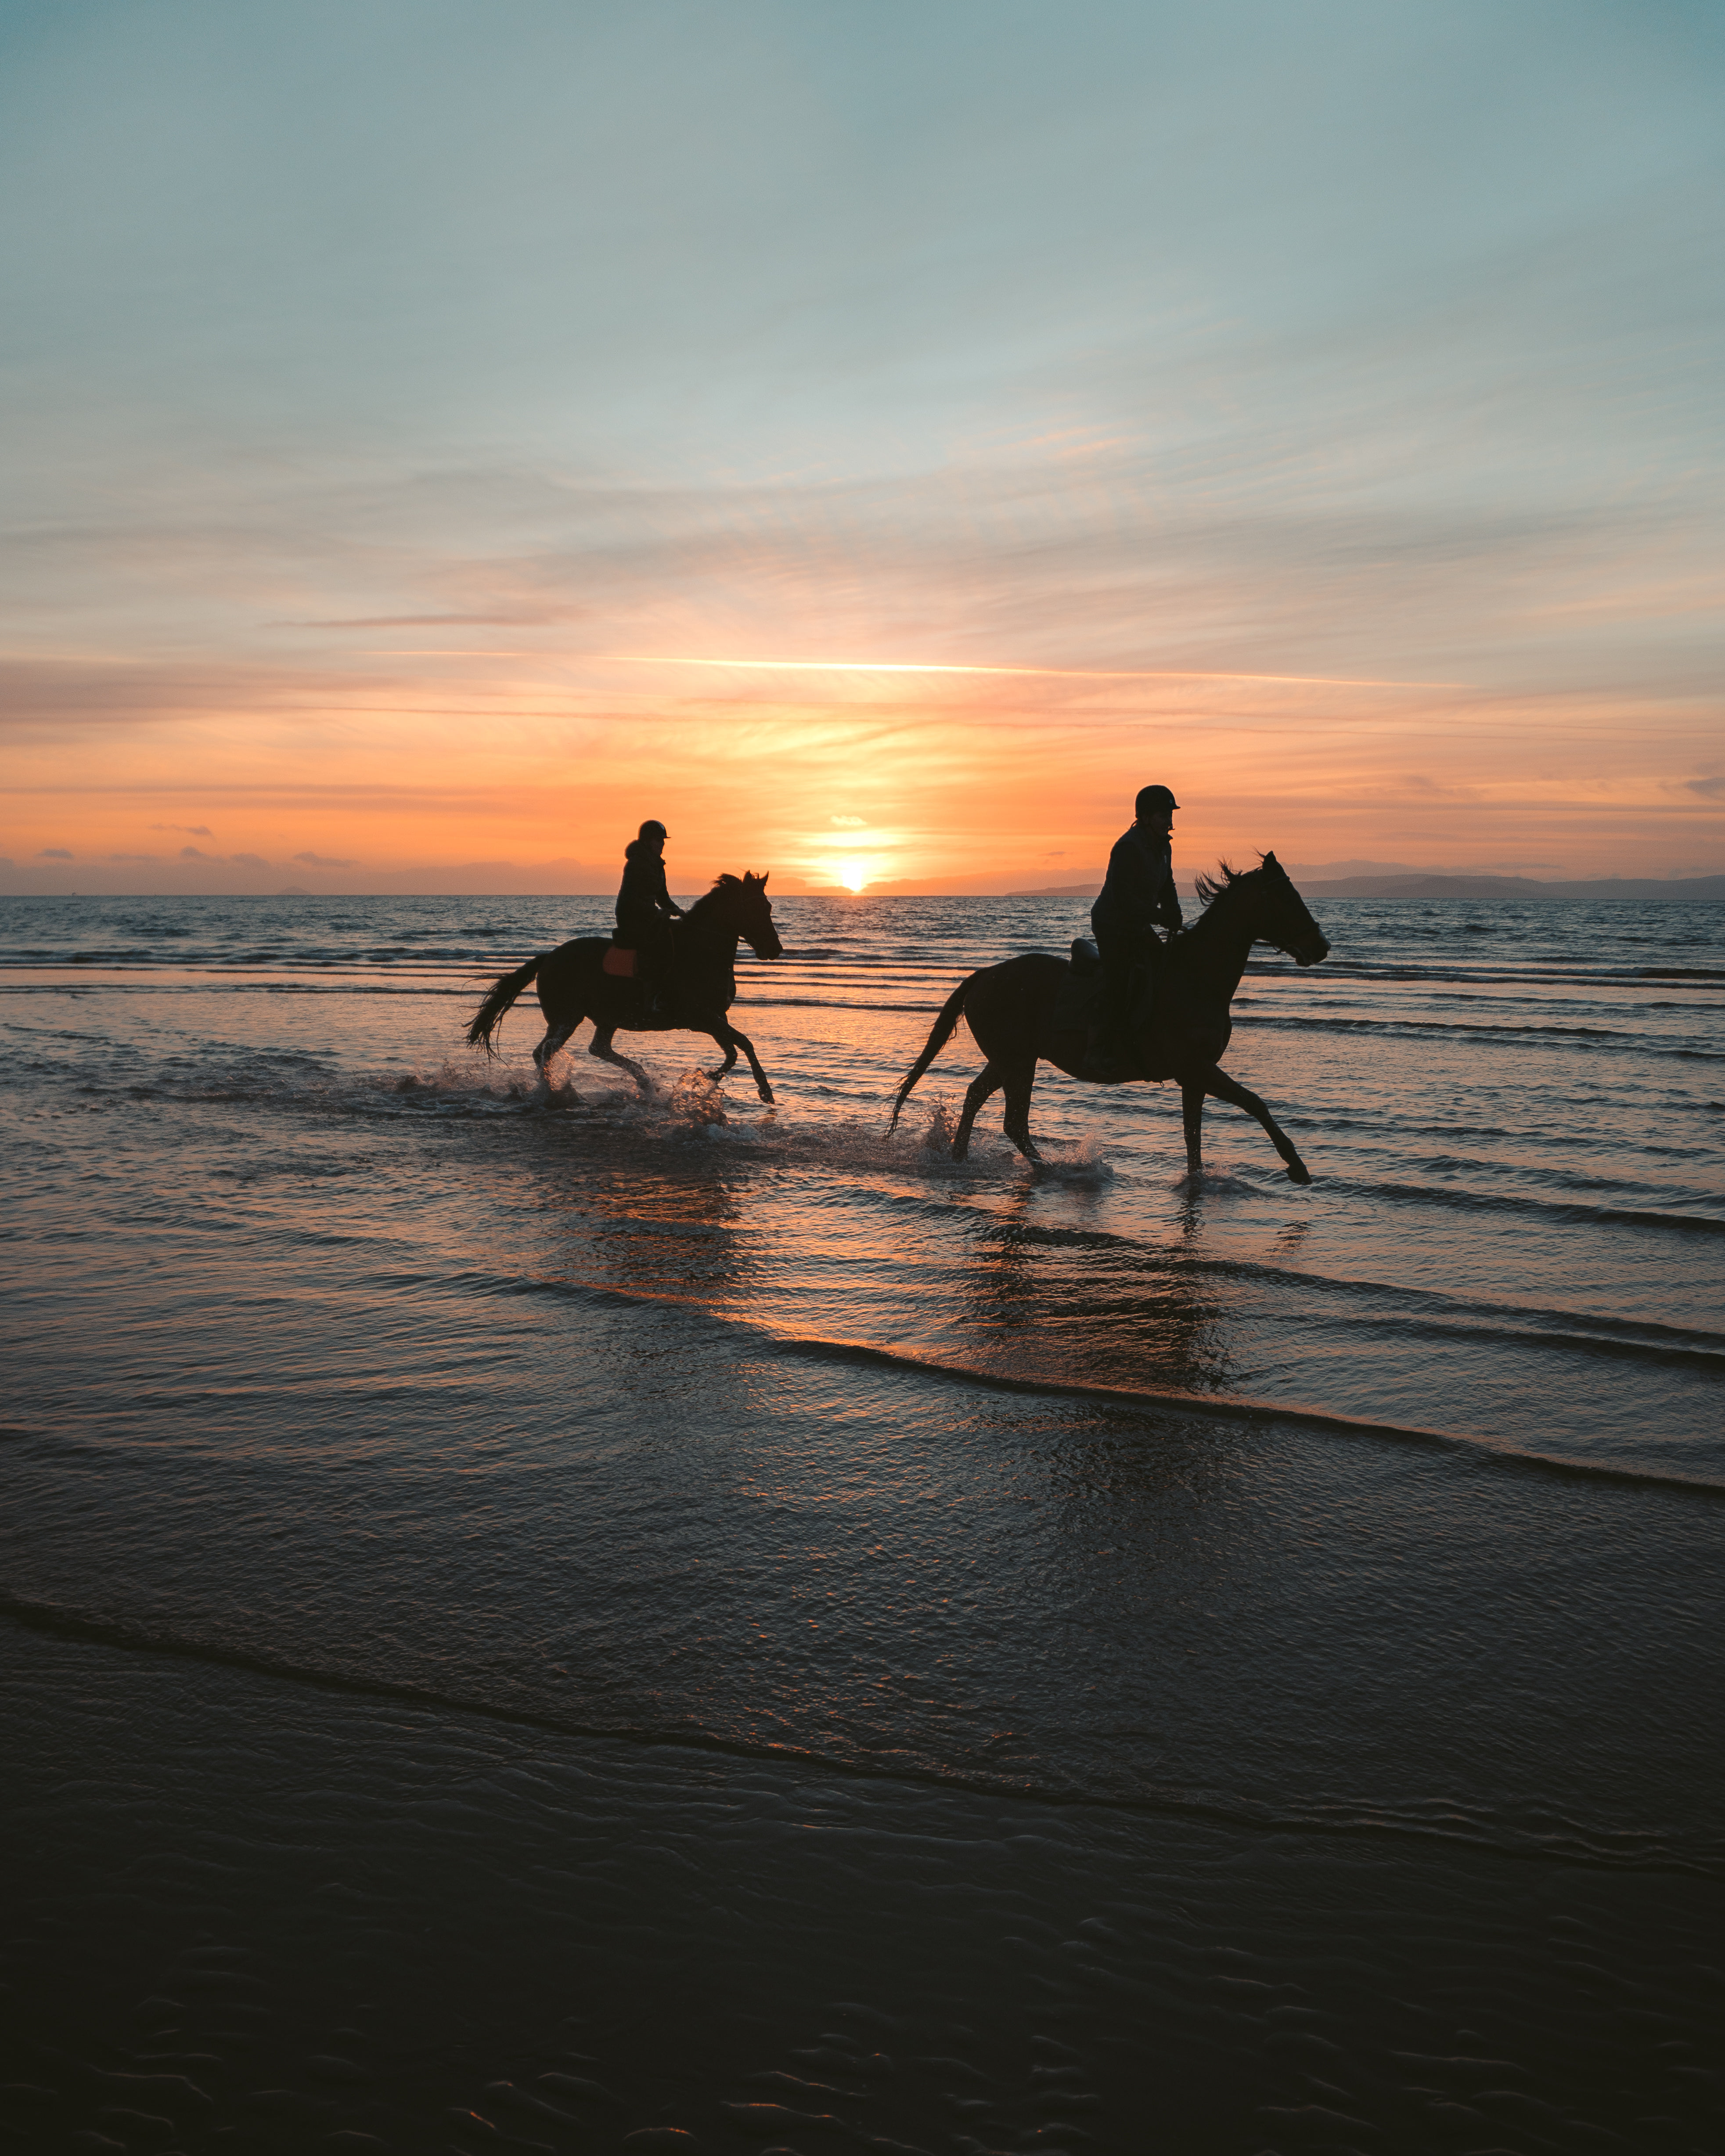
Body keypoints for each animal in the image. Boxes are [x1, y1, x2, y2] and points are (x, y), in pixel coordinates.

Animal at [457, 867, 780, 1095]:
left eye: (768, 908)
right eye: (758, 909)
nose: (775, 950)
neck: (702, 951)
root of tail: (549, 957)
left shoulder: (714, 1017)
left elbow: (735, 1049)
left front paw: (715, 1078)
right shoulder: (700, 1016)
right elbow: (741, 1044)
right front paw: (757, 1088)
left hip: (605, 1016)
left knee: (596, 1048)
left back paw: (642, 1081)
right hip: (567, 1017)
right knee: (546, 1052)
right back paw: (556, 1091)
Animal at [888, 853, 1336, 1181]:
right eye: (1286, 899)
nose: (1321, 947)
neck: (1194, 977)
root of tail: (984, 975)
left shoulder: (1194, 1076)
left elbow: (1193, 1137)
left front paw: (1197, 1181)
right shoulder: (1198, 1068)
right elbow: (1255, 1103)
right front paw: (1296, 1166)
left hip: (1010, 1059)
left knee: (976, 1096)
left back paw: (959, 1159)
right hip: (1017, 1062)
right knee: (1013, 1122)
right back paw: (1052, 1170)